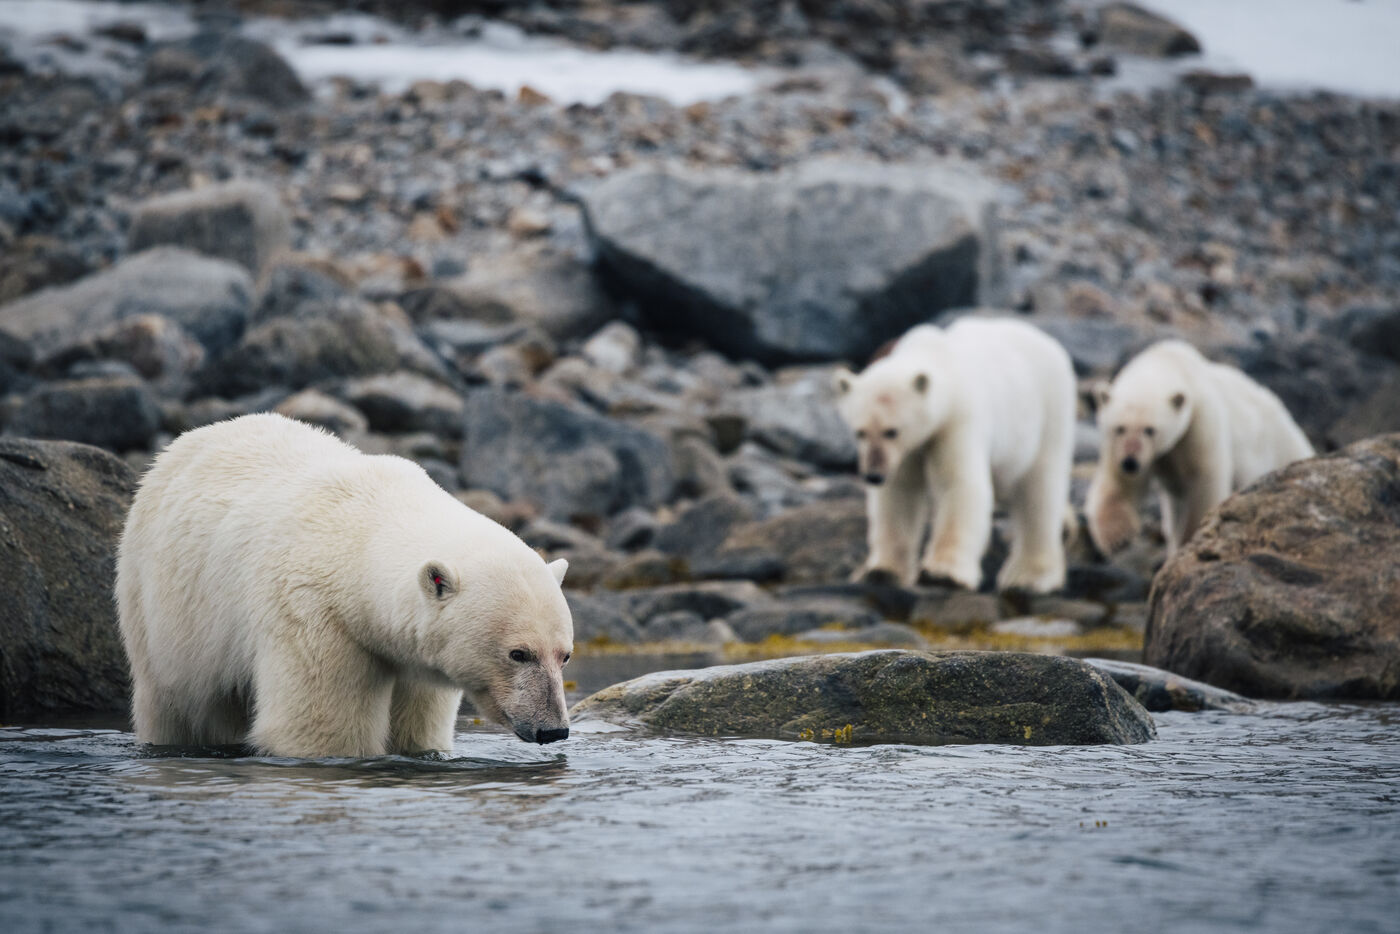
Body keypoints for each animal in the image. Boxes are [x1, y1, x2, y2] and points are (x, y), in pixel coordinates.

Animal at [115, 412, 574, 758]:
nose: (553, 729)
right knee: (175, 702)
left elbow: (416, 727)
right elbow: (318, 729)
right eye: (519, 653)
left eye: (564, 655)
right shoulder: (312, 617)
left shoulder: (413, 652)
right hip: (161, 602)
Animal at [833, 317, 1077, 593]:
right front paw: (881, 572)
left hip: (1048, 414)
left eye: (892, 431)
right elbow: (898, 493)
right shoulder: (907, 452)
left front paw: (941, 574)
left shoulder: (957, 421)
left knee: (1039, 489)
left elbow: (958, 484)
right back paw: (1064, 529)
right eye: (859, 432)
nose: (873, 476)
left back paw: (1029, 575)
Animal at [1085, 339, 1314, 556]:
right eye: (1119, 428)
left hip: (1279, 445)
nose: (1130, 463)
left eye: (1150, 430)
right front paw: (1118, 537)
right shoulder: (1119, 449)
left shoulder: (1199, 423)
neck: (1170, 361)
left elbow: (1204, 479)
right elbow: (1120, 484)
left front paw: (1191, 538)